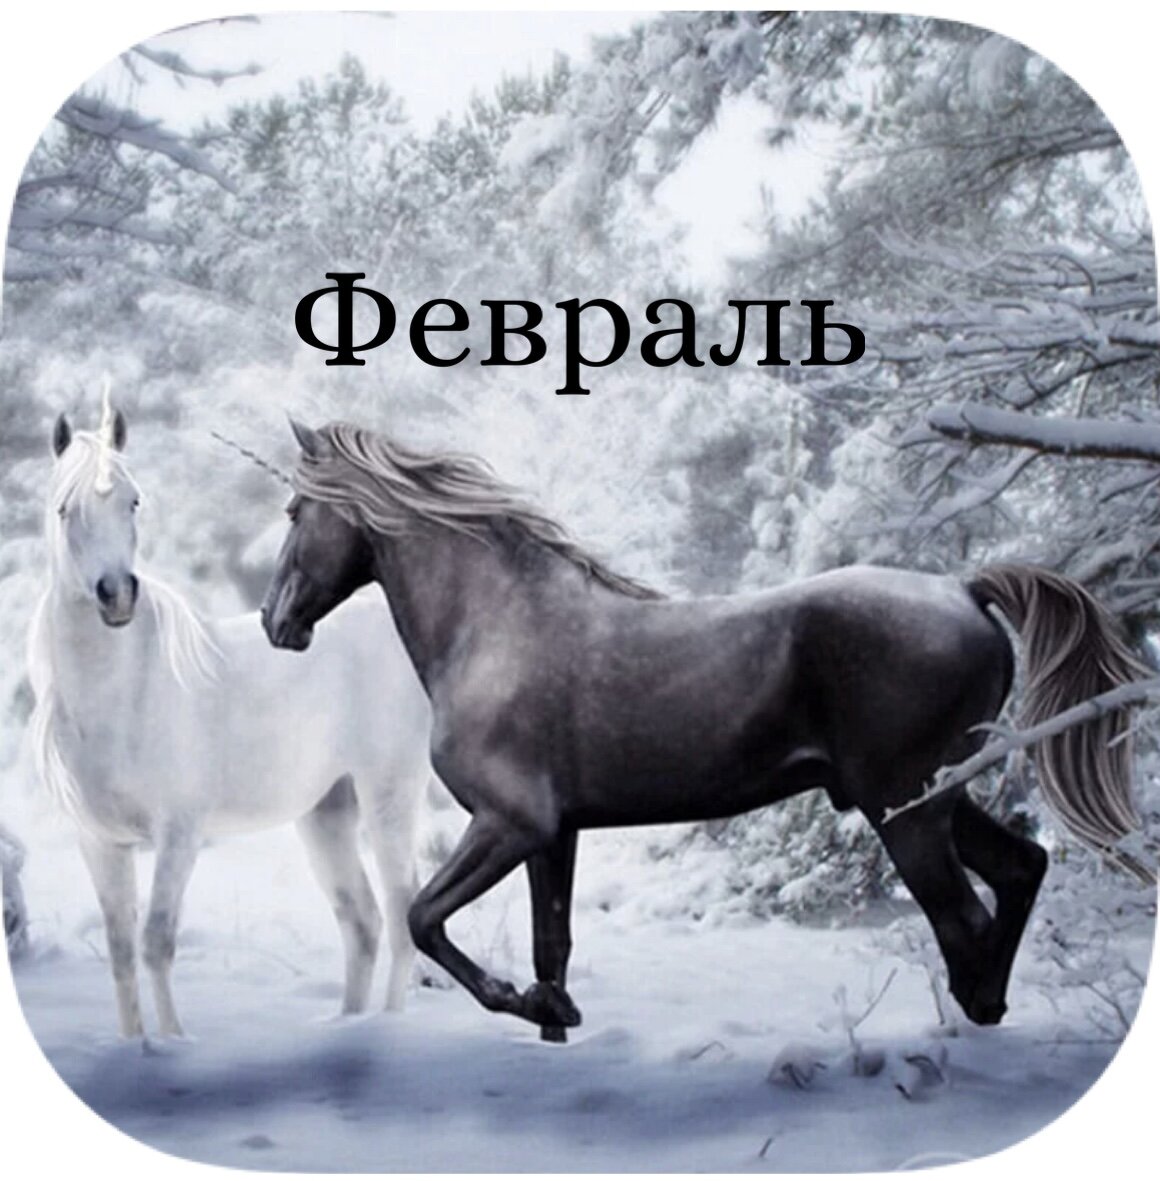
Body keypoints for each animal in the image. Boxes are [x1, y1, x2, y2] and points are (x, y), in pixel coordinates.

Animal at [28, 401, 433, 1038]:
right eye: (64, 508)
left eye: (133, 501)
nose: (116, 595)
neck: (123, 694)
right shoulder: (100, 842)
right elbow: (121, 953)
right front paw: (134, 1045)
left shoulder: (179, 834)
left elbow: (156, 942)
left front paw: (172, 1044)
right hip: (327, 811)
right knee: (361, 921)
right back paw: (344, 1029)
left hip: (387, 794)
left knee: (397, 914)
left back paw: (385, 1030)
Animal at [261, 418, 1146, 1043]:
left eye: (297, 510)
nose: (277, 623)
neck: (497, 626)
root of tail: (964, 590)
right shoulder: (555, 834)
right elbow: (554, 943)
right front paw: (555, 1015)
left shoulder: (510, 824)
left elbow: (424, 917)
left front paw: (525, 1002)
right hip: (935, 797)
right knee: (1021, 869)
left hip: (908, 809)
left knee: (964, 922)